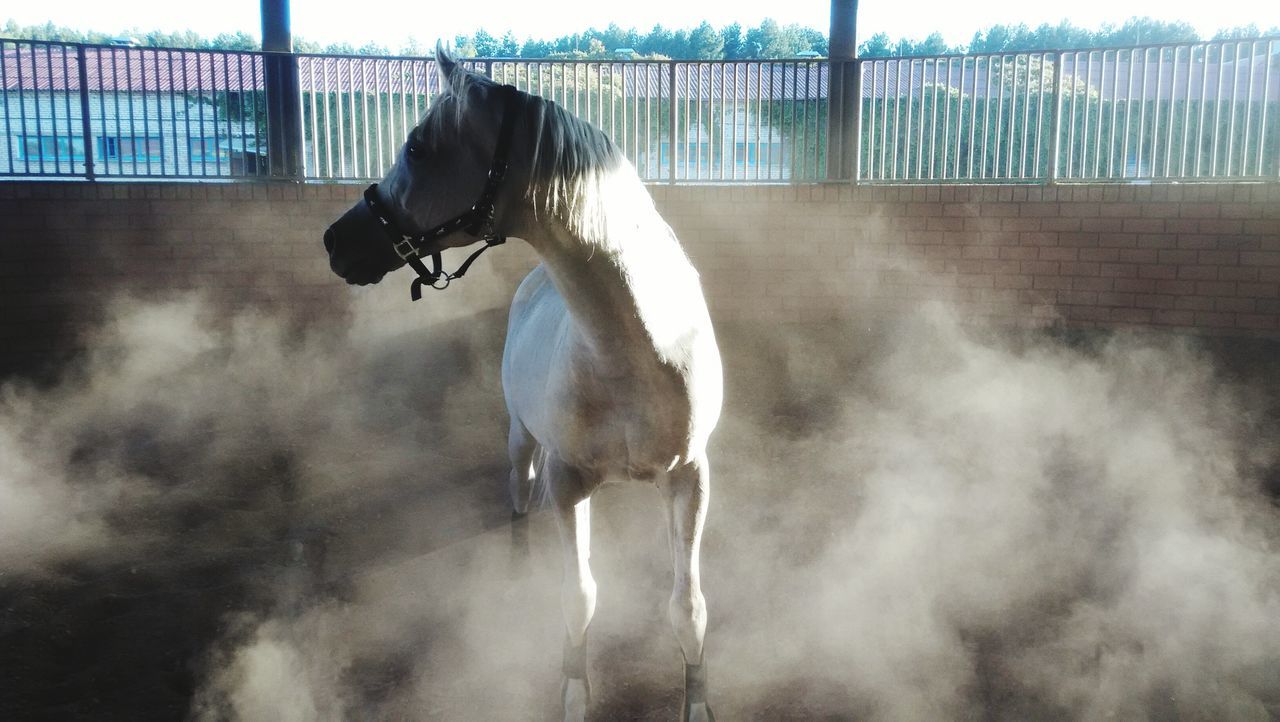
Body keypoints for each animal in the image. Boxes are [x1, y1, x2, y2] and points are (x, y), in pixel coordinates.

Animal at [322, 50, 721, 722]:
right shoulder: (568, 483)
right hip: (521, 441)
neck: (638, 351)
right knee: (517, 492)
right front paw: (574, 693)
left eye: (419, 146)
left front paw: (697, 700)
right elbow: (578, 598)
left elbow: (688, 609)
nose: (335, 241)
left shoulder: (689, 478)